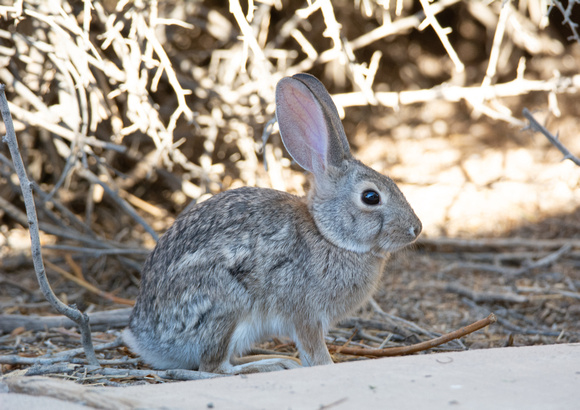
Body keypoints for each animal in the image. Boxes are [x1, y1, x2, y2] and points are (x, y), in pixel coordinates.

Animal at [123, 73, 422, 374]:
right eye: (371, 197)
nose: (416, 229)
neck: (327, 234)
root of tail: (146, 340)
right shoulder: (305, 314)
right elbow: (314, 350)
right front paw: (328, 365)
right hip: (225, 306)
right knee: (215, 367)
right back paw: (273, 363)